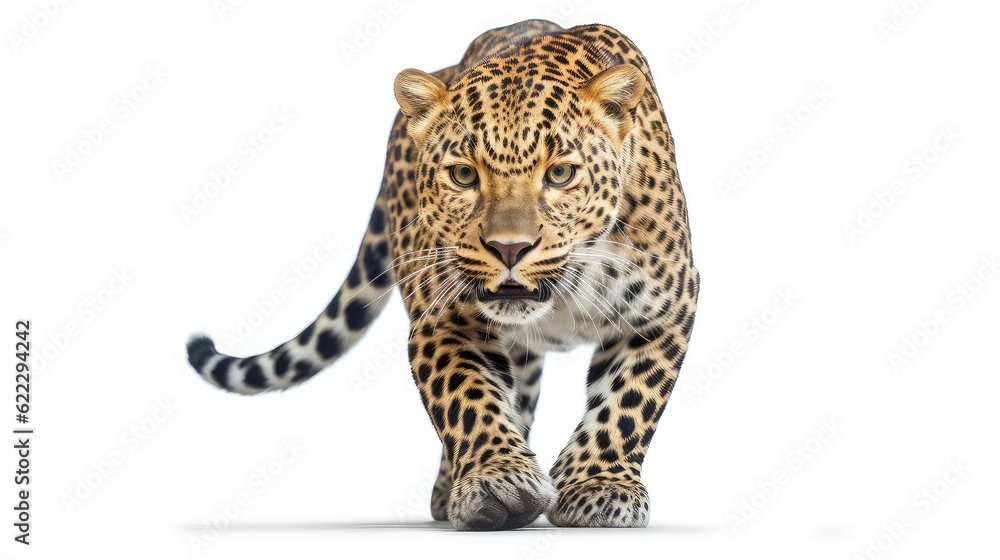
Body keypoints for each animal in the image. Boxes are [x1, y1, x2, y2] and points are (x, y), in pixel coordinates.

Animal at [186, 19, 699, 531]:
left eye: (560, 174)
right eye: (463, 175)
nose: (509, 248)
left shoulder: (663, 310)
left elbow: (628, 402)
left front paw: (598, 486)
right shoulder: (443, 320)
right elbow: (469, 399)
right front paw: (499, 480)